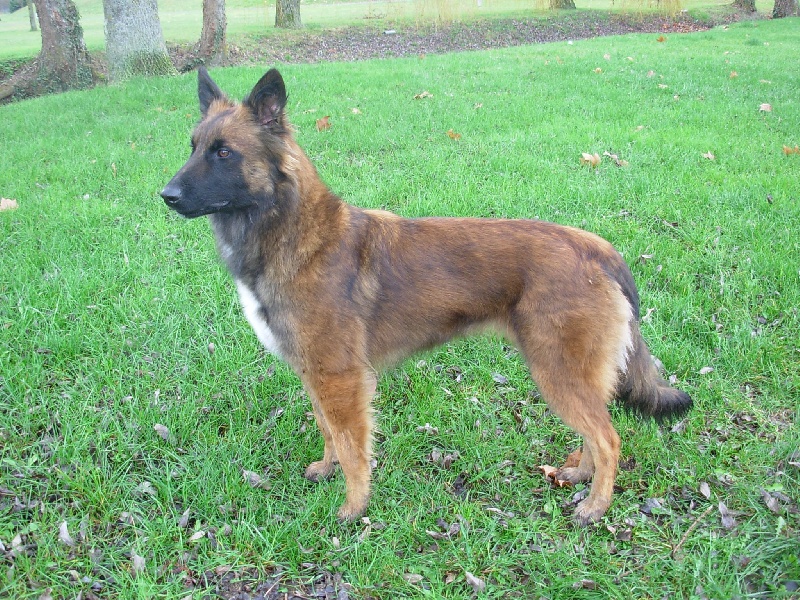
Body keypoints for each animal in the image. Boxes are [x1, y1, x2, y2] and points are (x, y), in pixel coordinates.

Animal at [161, 67, 692, 525]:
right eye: (193, 147)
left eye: (224, 153)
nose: (166, 195)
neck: (293, 231)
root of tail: (595, 247)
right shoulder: (316, 375)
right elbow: (327, 431)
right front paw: (326, 471)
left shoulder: (342, 379)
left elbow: (352, 447)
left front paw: (354, 508)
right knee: (594, 433)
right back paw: (579, 474)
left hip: (557, 371)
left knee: (609, 438)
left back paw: (596, 506)